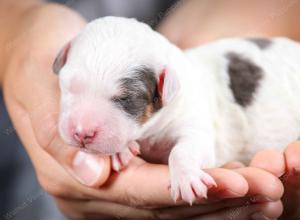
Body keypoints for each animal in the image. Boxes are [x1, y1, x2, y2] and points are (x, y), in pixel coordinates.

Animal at [53, 16, 300, 205]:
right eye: (68, 86)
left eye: (125, 98)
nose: (82, 132)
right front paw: (120, 151)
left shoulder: (194, 121)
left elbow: (185, 149)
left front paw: (186, 179)